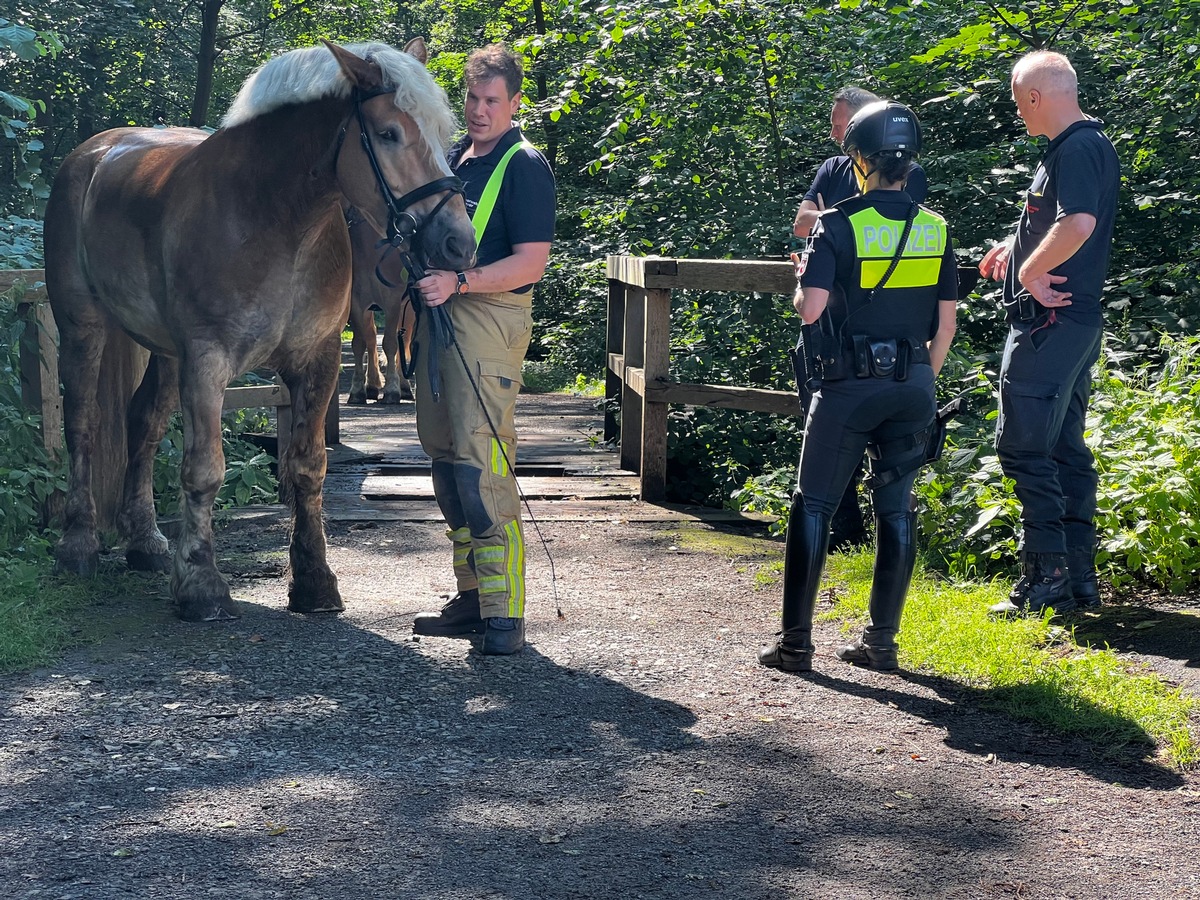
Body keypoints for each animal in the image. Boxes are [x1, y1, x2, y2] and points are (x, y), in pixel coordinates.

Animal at [348, 213, 417, 403]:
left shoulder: (392, 301)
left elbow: (391, 343)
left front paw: (392, 389)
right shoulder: (356, 303)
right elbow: (359, 343)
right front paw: (357, 390)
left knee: (404, 340)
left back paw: (404, 386)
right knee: (371, 338)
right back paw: (372, 385)